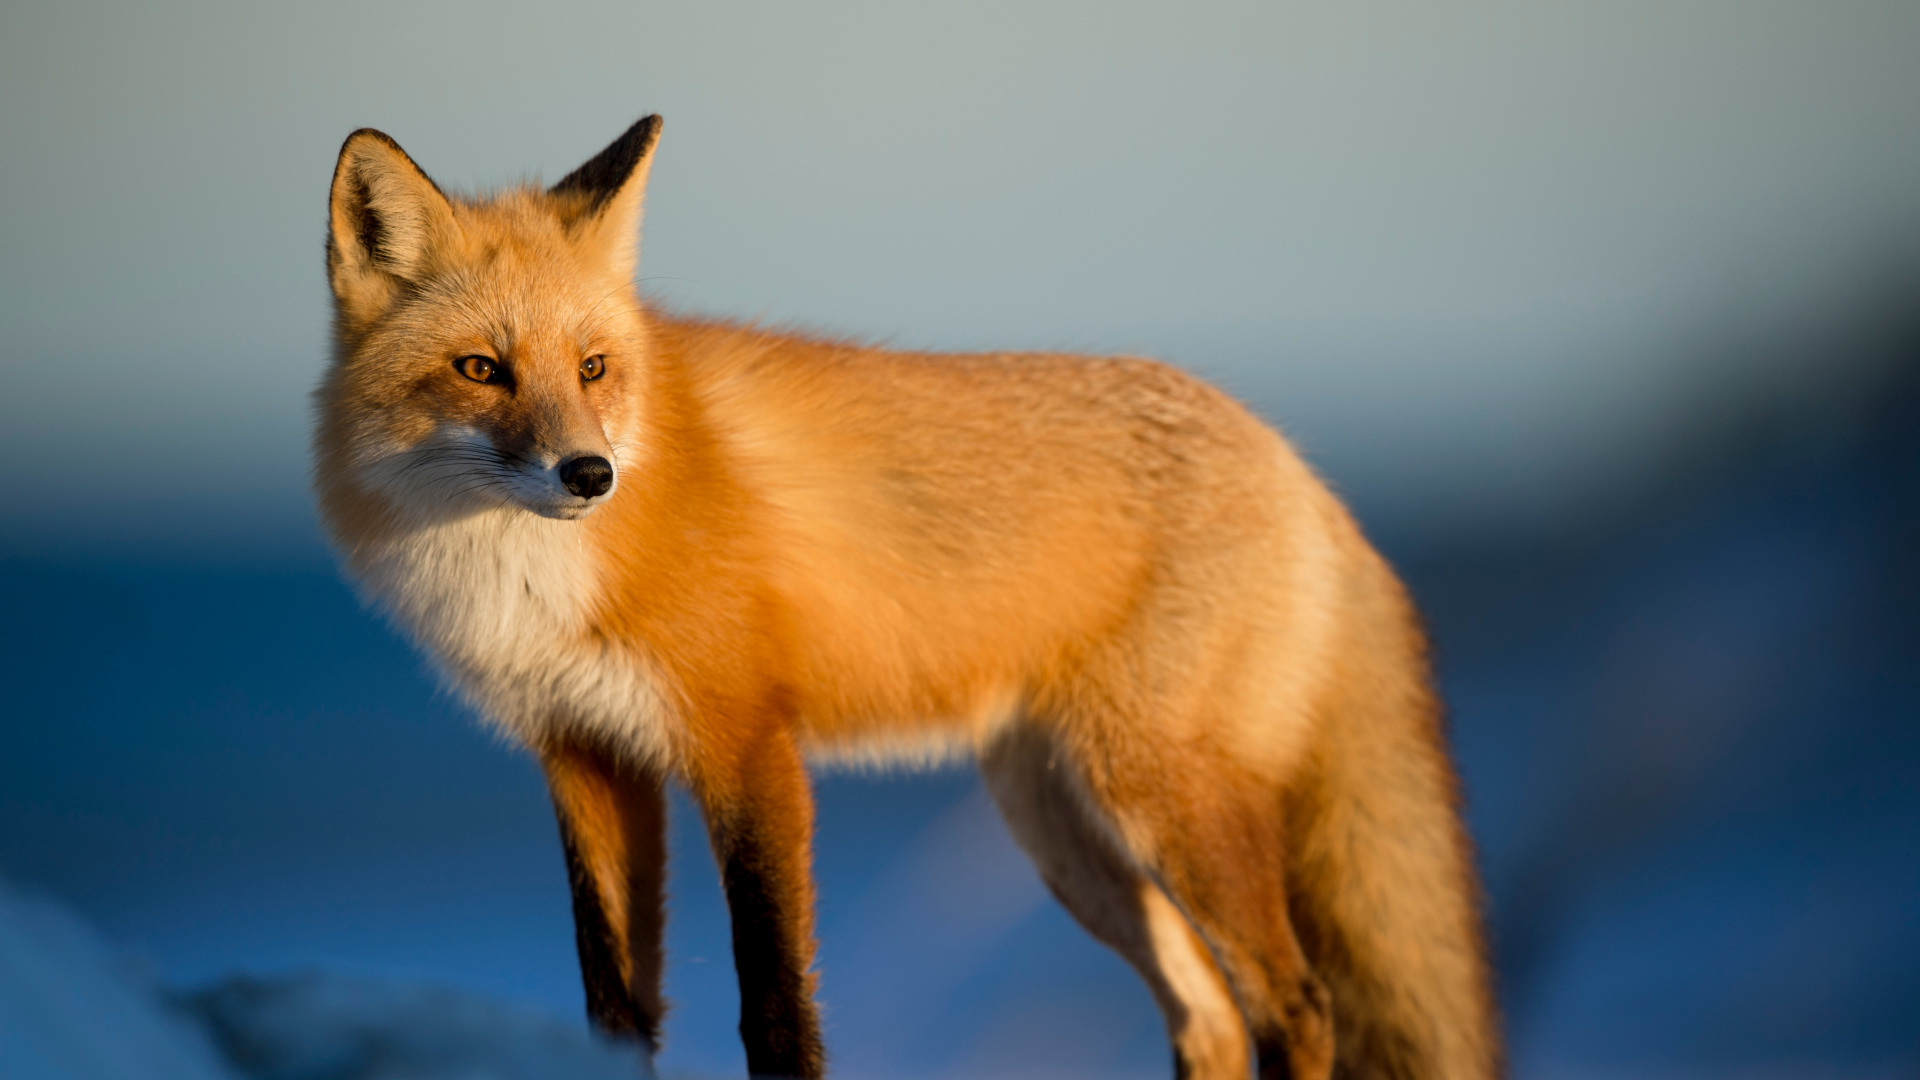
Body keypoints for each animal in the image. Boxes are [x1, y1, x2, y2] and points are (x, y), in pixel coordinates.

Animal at [313, 114, 1500, 1080]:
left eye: (594, 368)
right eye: (481, 370)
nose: (589, 475)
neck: (527, 581)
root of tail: (1298, 464)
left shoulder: (747, 746)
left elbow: (775, 1008)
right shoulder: (585, 757)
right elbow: (614, 1006)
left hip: (1162, 801)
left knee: (1295, 1006)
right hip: (1067, 834)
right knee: (1207, 1016)